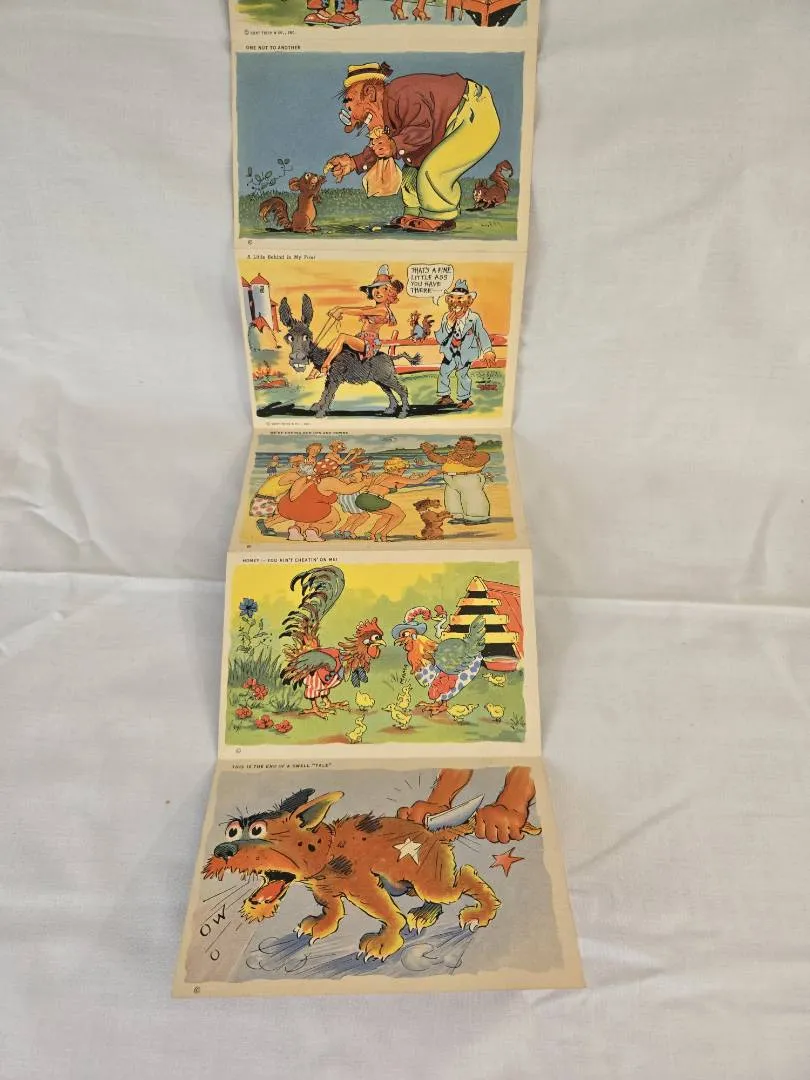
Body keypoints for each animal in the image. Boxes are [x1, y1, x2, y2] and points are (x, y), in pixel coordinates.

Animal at [278, 295, 421, 419]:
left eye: (307, 336)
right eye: (289, 337)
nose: (297, 358)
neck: (326, 356)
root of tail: (390, 357)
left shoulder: (335, 378)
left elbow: (329, 394)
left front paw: (321, 413)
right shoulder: (330, 378)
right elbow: (324, 392)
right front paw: (317, 406)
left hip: (387, 377)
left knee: (402, 389)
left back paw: (403, 413)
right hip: (380, 379)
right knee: (389, 391)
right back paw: (390, 409)